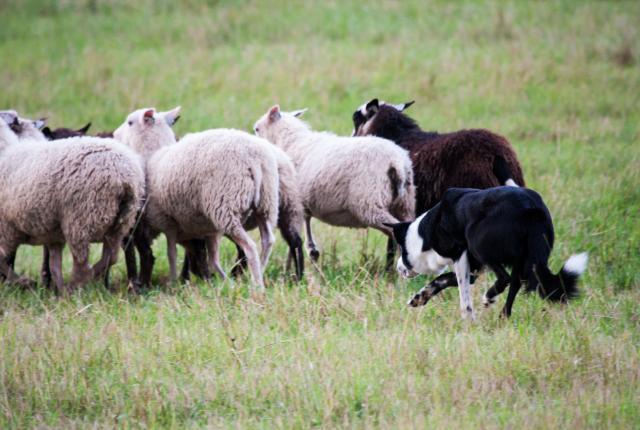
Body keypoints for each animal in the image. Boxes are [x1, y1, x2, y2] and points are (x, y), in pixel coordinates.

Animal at [0, 111, 145, 294]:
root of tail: (123, 177)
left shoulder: (7, 228)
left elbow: (2, 259)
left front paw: (24, 282)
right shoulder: (52, 235)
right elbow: (54, 265)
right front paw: (54, 290)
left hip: (80, 220)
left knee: (82, 264)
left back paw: (75, 287)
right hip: (119, 222)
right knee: (110, 256)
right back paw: (80, 284)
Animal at [114, 107, 278, 288]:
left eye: (130, 122)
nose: (114, 134)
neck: (152, 155)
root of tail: (254, 158)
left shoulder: (167, 221)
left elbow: (171, 253)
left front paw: (173, 282)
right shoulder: (210, 229)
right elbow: (213, 259)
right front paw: (225, 283)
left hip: (225, 206)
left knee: (250, 247)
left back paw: (257, 285)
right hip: (266, 203)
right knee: (268, 240)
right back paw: (260, 271)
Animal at [255, 105, 416, 268]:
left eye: (256, 129)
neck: (289, 142)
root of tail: (397, 161)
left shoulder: (294, 205)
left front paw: (289, 269)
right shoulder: (303, 207)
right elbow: (307, 243)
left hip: (369, 204)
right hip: (405, 204)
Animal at [384, 187, 592, 320]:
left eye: (402, 251)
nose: (398, 268)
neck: (424, 234)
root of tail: (531, 209)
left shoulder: (461, 256)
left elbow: (462, 293)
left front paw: (468, 320)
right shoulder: (472, 268)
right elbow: (443, 279)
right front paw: (420, 297)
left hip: (477, 240)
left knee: (505, 278)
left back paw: (489, 297)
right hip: (525, 260)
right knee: (515, 283)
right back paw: (503, 317)